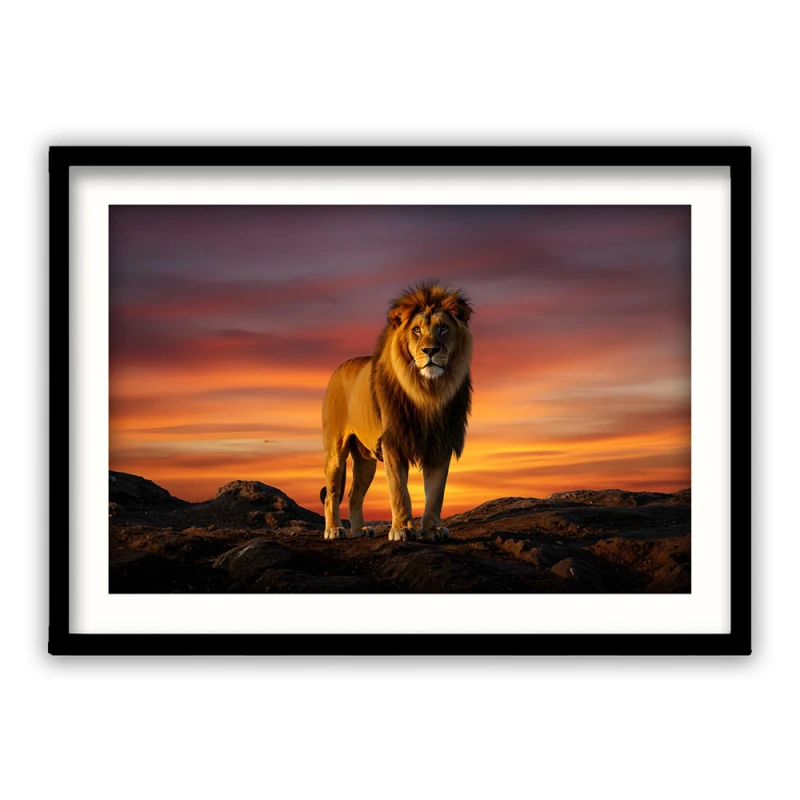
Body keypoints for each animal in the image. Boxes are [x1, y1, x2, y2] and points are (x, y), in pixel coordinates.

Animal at [320, 281, 473, 542]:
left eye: (443, 329)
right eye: (417, 330)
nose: (430, 350)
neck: (428, 392)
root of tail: (340, 367)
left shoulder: (440, 443)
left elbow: (436, 493)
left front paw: (432, 529)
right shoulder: (393, 443)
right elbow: (399, 491)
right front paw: (402, 529)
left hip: (365, 460)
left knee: (353, 494)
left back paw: (359, 530)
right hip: (335, 450)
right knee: (332, 493)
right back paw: (334, 530)